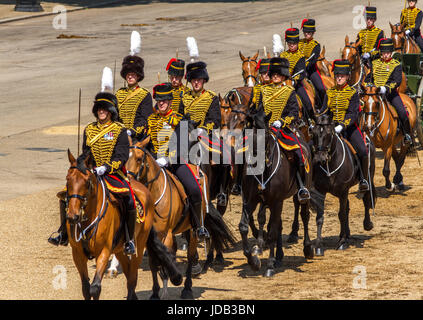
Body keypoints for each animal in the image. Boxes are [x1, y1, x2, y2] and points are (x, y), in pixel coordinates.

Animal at [63, 150, 181, 300]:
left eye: (87, 182)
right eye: (68, 180)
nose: (73, 216)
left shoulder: (104, 251)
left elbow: (95, 288)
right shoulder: (77, 254)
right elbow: (86, 289)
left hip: (139, 244)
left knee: (132, 278)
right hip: (120, 249)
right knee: (128, 273)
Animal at [310, 112, 376, 255]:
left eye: (329, 134)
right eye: (313, 133)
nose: (319, 159)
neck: (330, 163)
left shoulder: (343, 191)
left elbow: (341, 214)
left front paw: (342, 242)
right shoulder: (321, 191)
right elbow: (320, 217)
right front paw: (318, 246)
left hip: (369, 176)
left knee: (366, 198)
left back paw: (367, 224)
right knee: (347, 208)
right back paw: (346, 233)